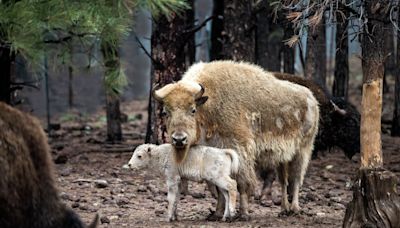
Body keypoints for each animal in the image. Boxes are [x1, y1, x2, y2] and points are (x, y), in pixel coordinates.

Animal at [153, 60, 318, 219]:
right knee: (284, 182)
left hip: (302, 151)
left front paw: (243, 214)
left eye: (192, 110)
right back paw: (284, 210)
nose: (179, 139)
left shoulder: (241, 150)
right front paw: (217, 214)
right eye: (165, 112)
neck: (209, 105)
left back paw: (295, 209)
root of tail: (311, 98)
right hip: (282, 158)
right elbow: (220, 187)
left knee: (296, 180)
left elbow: (242, 184)